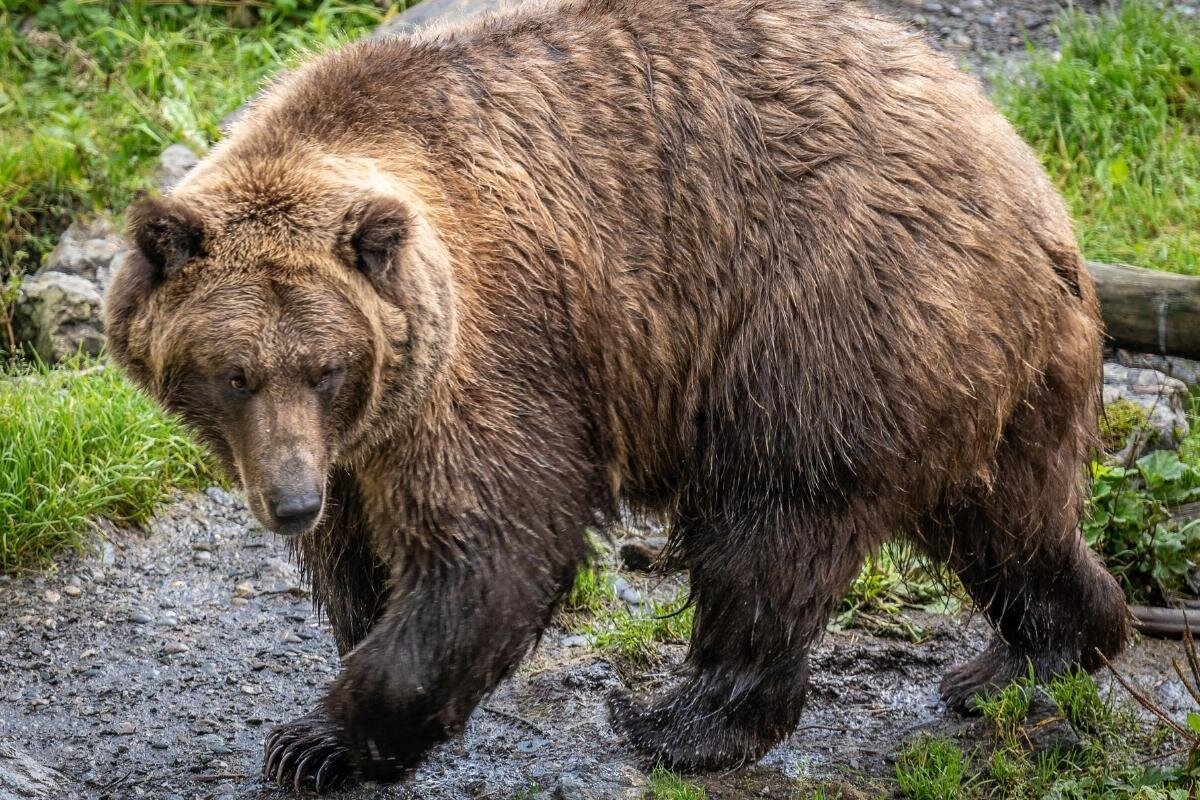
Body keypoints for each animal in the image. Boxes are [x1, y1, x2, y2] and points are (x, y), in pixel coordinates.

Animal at [105, 0, 1131, 791]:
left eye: (326, 365)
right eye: (233, 372)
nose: (289, 501)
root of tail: (1024, 178)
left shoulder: (497, 341)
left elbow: (495, 535)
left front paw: (316, 739)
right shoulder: (359, 440)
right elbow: (358, 558)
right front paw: (350, 675)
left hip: (830, 319)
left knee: (772, 524)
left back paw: (680, 722)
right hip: (997, 372)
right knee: (1009, 519)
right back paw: (1034, 654)